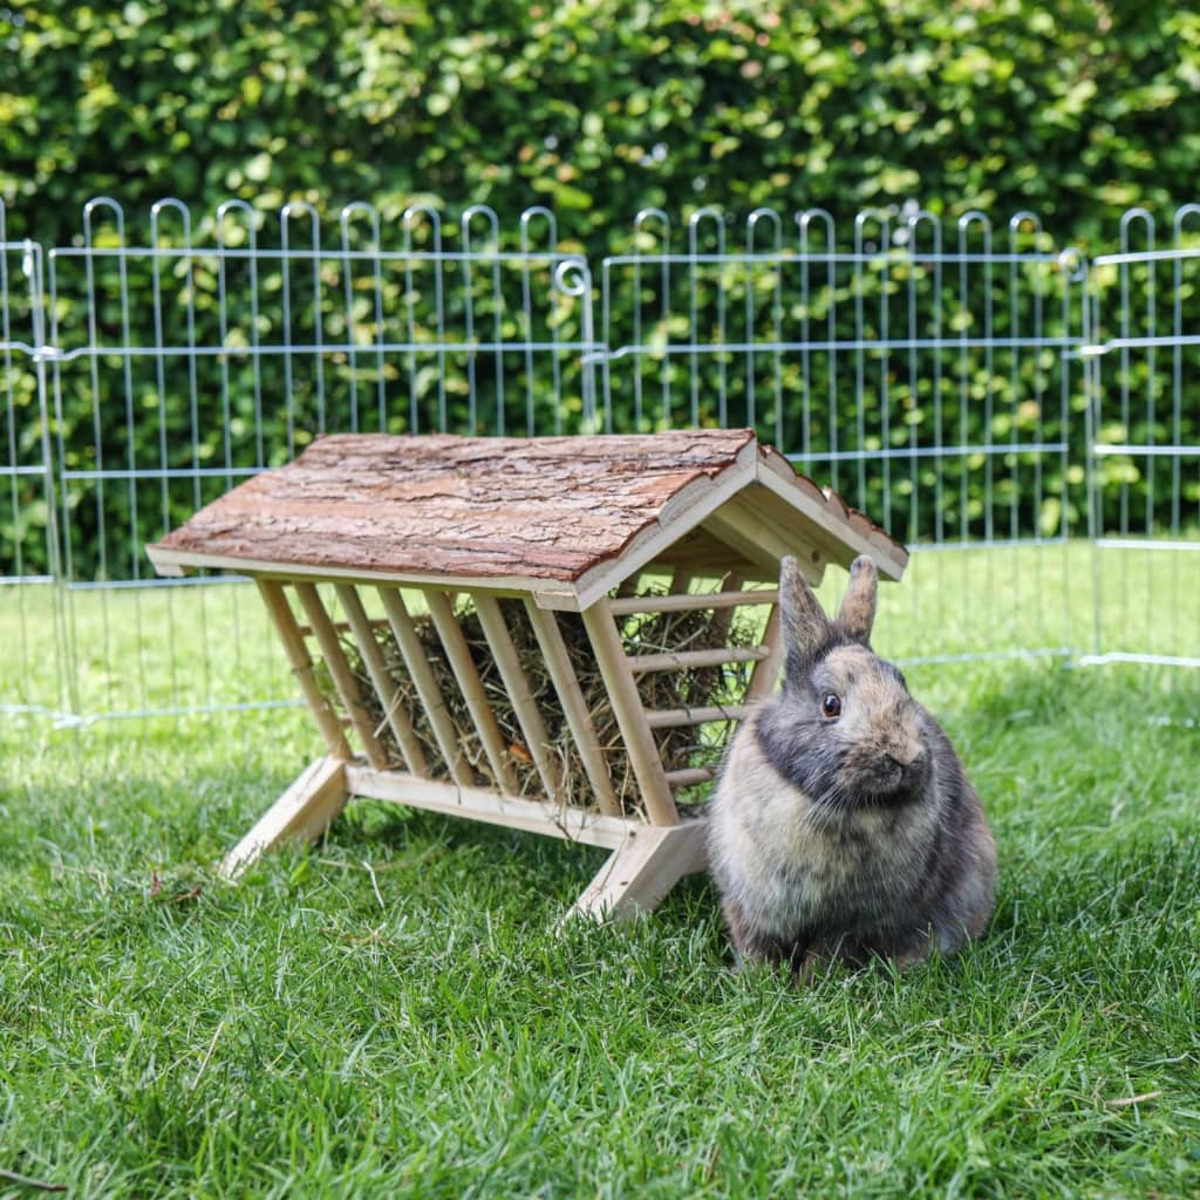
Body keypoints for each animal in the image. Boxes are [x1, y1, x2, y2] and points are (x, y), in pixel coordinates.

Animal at [707, 554, 995, 977]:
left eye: (902, 687)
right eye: (831, 704)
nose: (906, 757)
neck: (821, 801)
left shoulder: (850, 921)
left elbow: (827, 952)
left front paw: (810, 984)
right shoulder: (747, 902)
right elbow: (756, 944)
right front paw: (756, 981)